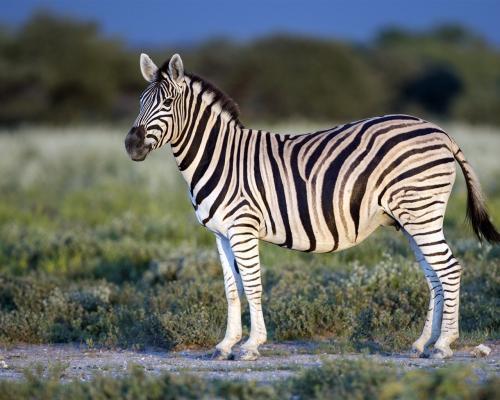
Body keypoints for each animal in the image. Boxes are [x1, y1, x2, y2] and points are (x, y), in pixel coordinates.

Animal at [125, 51, 500, 360]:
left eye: (167, 102)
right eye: (140, 101)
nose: (131, 144)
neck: (220, 157)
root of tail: (439, 131)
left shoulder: (243, 228)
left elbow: (252, 285)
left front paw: (250, 346)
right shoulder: (220, 234)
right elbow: (232, 289)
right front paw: (225, 345)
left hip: (421, 213)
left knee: (449, 269)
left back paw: (443, 345)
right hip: (411, 218)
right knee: (434, 276)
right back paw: (423, 343)